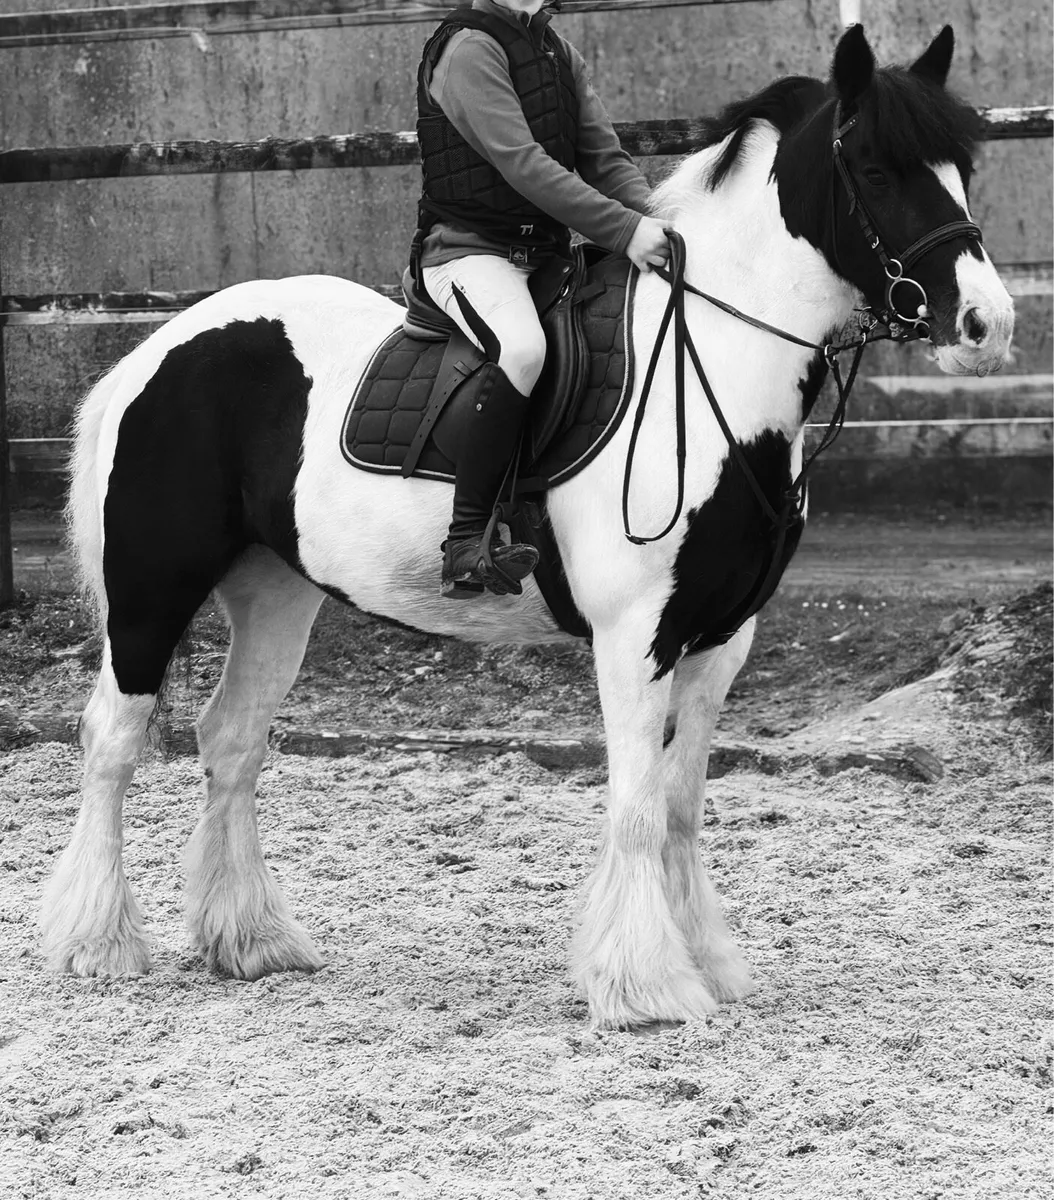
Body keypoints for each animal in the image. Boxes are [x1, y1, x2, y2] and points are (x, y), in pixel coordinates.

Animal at [41, 23, 1013, 1029]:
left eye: (961, 166)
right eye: (876, 168)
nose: (987, 324)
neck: (710, 370)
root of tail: (159, 348)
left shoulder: (722, 640)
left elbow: (680, 805)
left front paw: (706, 964)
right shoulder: (636, 636)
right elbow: (635, 804)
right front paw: (644, 985)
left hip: (274, 591)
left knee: (231, 740)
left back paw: (250, 942)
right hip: (152, 591)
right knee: (113, 739)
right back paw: (99, 944)